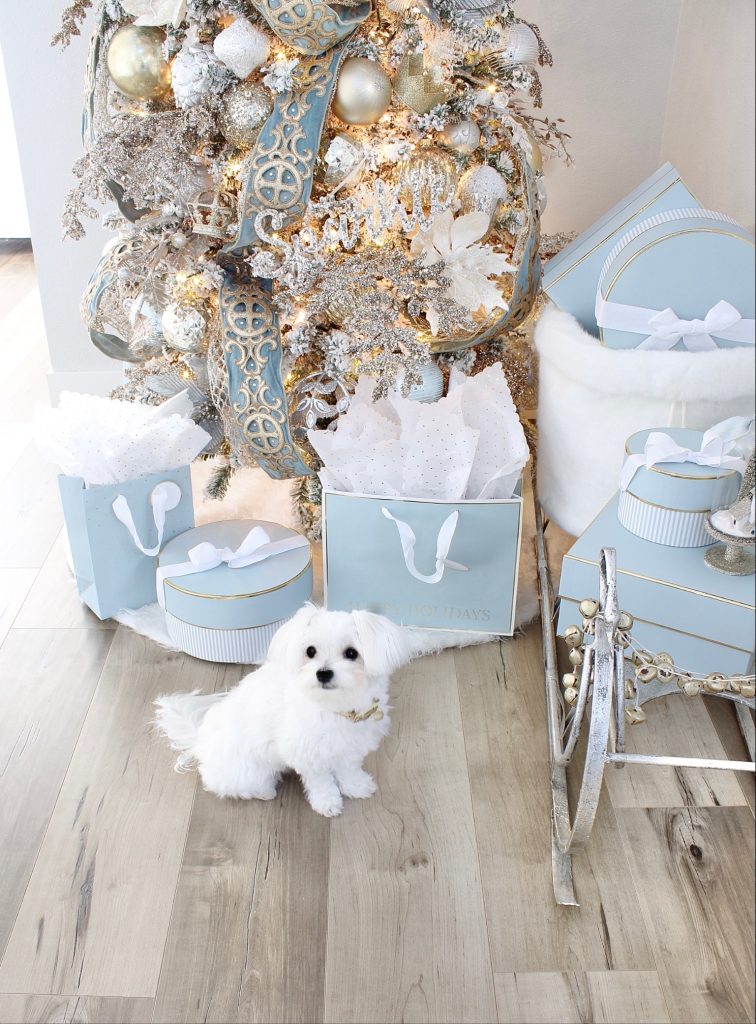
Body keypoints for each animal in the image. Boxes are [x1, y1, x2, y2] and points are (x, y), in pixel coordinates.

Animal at [153, 606, 409, 815]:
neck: (333, 706)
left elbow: (348, 769)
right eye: (310, 651)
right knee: (231, 786)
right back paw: (264, 792)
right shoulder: (307, 753)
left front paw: (356, 786)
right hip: (248, 772)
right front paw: (327, 803)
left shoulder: (349, 747)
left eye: (352, 653)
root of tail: (199, 743)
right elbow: (321, 782)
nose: (323, 673)